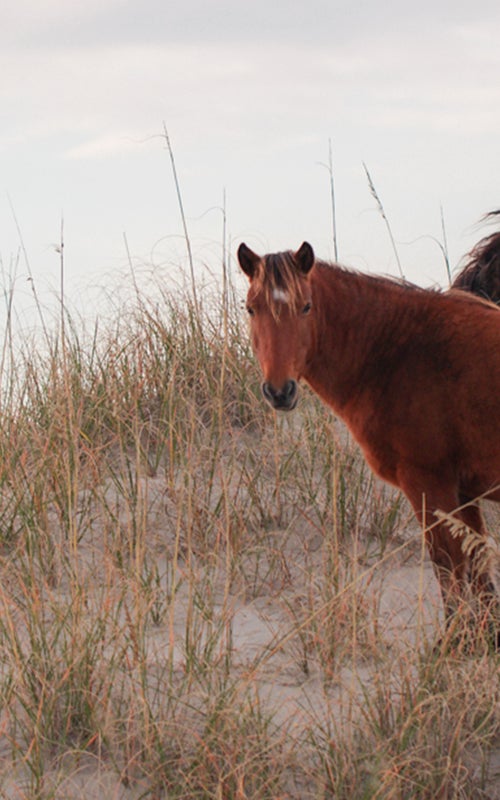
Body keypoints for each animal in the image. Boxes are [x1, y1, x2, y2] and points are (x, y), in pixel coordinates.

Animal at [237, 239, 500, 644]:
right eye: (252, 308)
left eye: (306, 306)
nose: (280, 392)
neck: (397, 352)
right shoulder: (464, 492)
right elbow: (478, 567)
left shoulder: (429, 485)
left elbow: (448, 565)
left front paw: (453, 643)